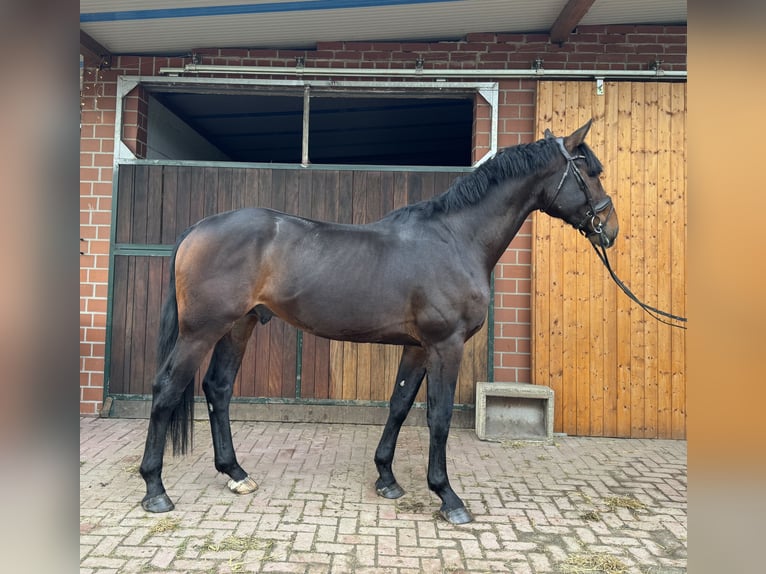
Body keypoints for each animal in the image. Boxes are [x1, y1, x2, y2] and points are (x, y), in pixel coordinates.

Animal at [136, 121, 616, 528]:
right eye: (590, 172)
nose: (609, 229)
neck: (455, 239)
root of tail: (199, 228)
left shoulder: (418, 346)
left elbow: (399, 405)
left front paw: (387, 478)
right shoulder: (446, 345)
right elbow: (438, 416)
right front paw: (448, 497)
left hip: (239, 326)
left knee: (218, 388)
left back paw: (236, 473)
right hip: (201, 331)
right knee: (167, 389)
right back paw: (156, 490)